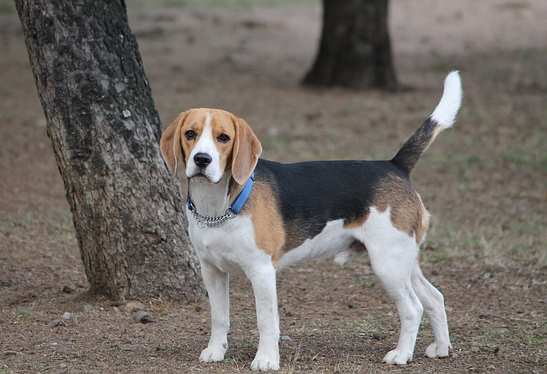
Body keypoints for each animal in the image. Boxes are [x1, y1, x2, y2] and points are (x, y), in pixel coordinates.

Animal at [162, 71, 462, 370]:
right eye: (190, 134)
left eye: (223, 138)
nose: (202, 159)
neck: (218, 207)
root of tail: (395, 165)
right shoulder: (212, 271)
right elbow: (219, 317)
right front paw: (216, 351)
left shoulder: (261, 271)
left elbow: (266, 321)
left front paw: (266, 359)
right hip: (404, 260)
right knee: (435, 297)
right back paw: (441, 348)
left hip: (388, 263)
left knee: (413, 307)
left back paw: (401, 354)